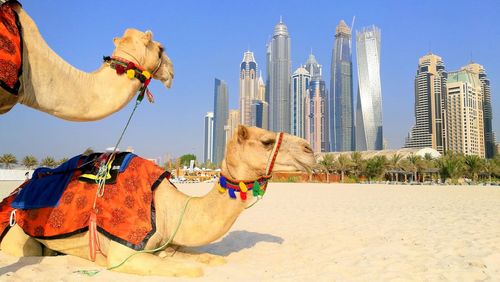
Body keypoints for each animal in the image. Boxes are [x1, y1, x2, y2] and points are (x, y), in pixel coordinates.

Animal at [0, 126, 316, 278]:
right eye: (265, 141)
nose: (310, 149)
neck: (165, 206)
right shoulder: (124, 252)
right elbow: (195, 269)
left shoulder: (167, 241)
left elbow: (209, 258)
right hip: (17, 234)